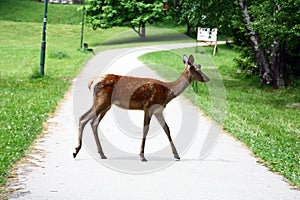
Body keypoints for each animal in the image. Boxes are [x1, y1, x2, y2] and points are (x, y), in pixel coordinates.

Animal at [73, 54, 209, 162]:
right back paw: (76, 151)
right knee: (83, 118)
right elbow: (146, 129)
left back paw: (101, 154)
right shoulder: (148, 106)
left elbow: (167, 129)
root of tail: (93, 81)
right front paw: (142, 156)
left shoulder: (158, 110)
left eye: (200, 67)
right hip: (102, 100)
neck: (167, 92)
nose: (208, 78)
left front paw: (176, 155)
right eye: (196, 69)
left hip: (106, 105)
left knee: (93, 122)